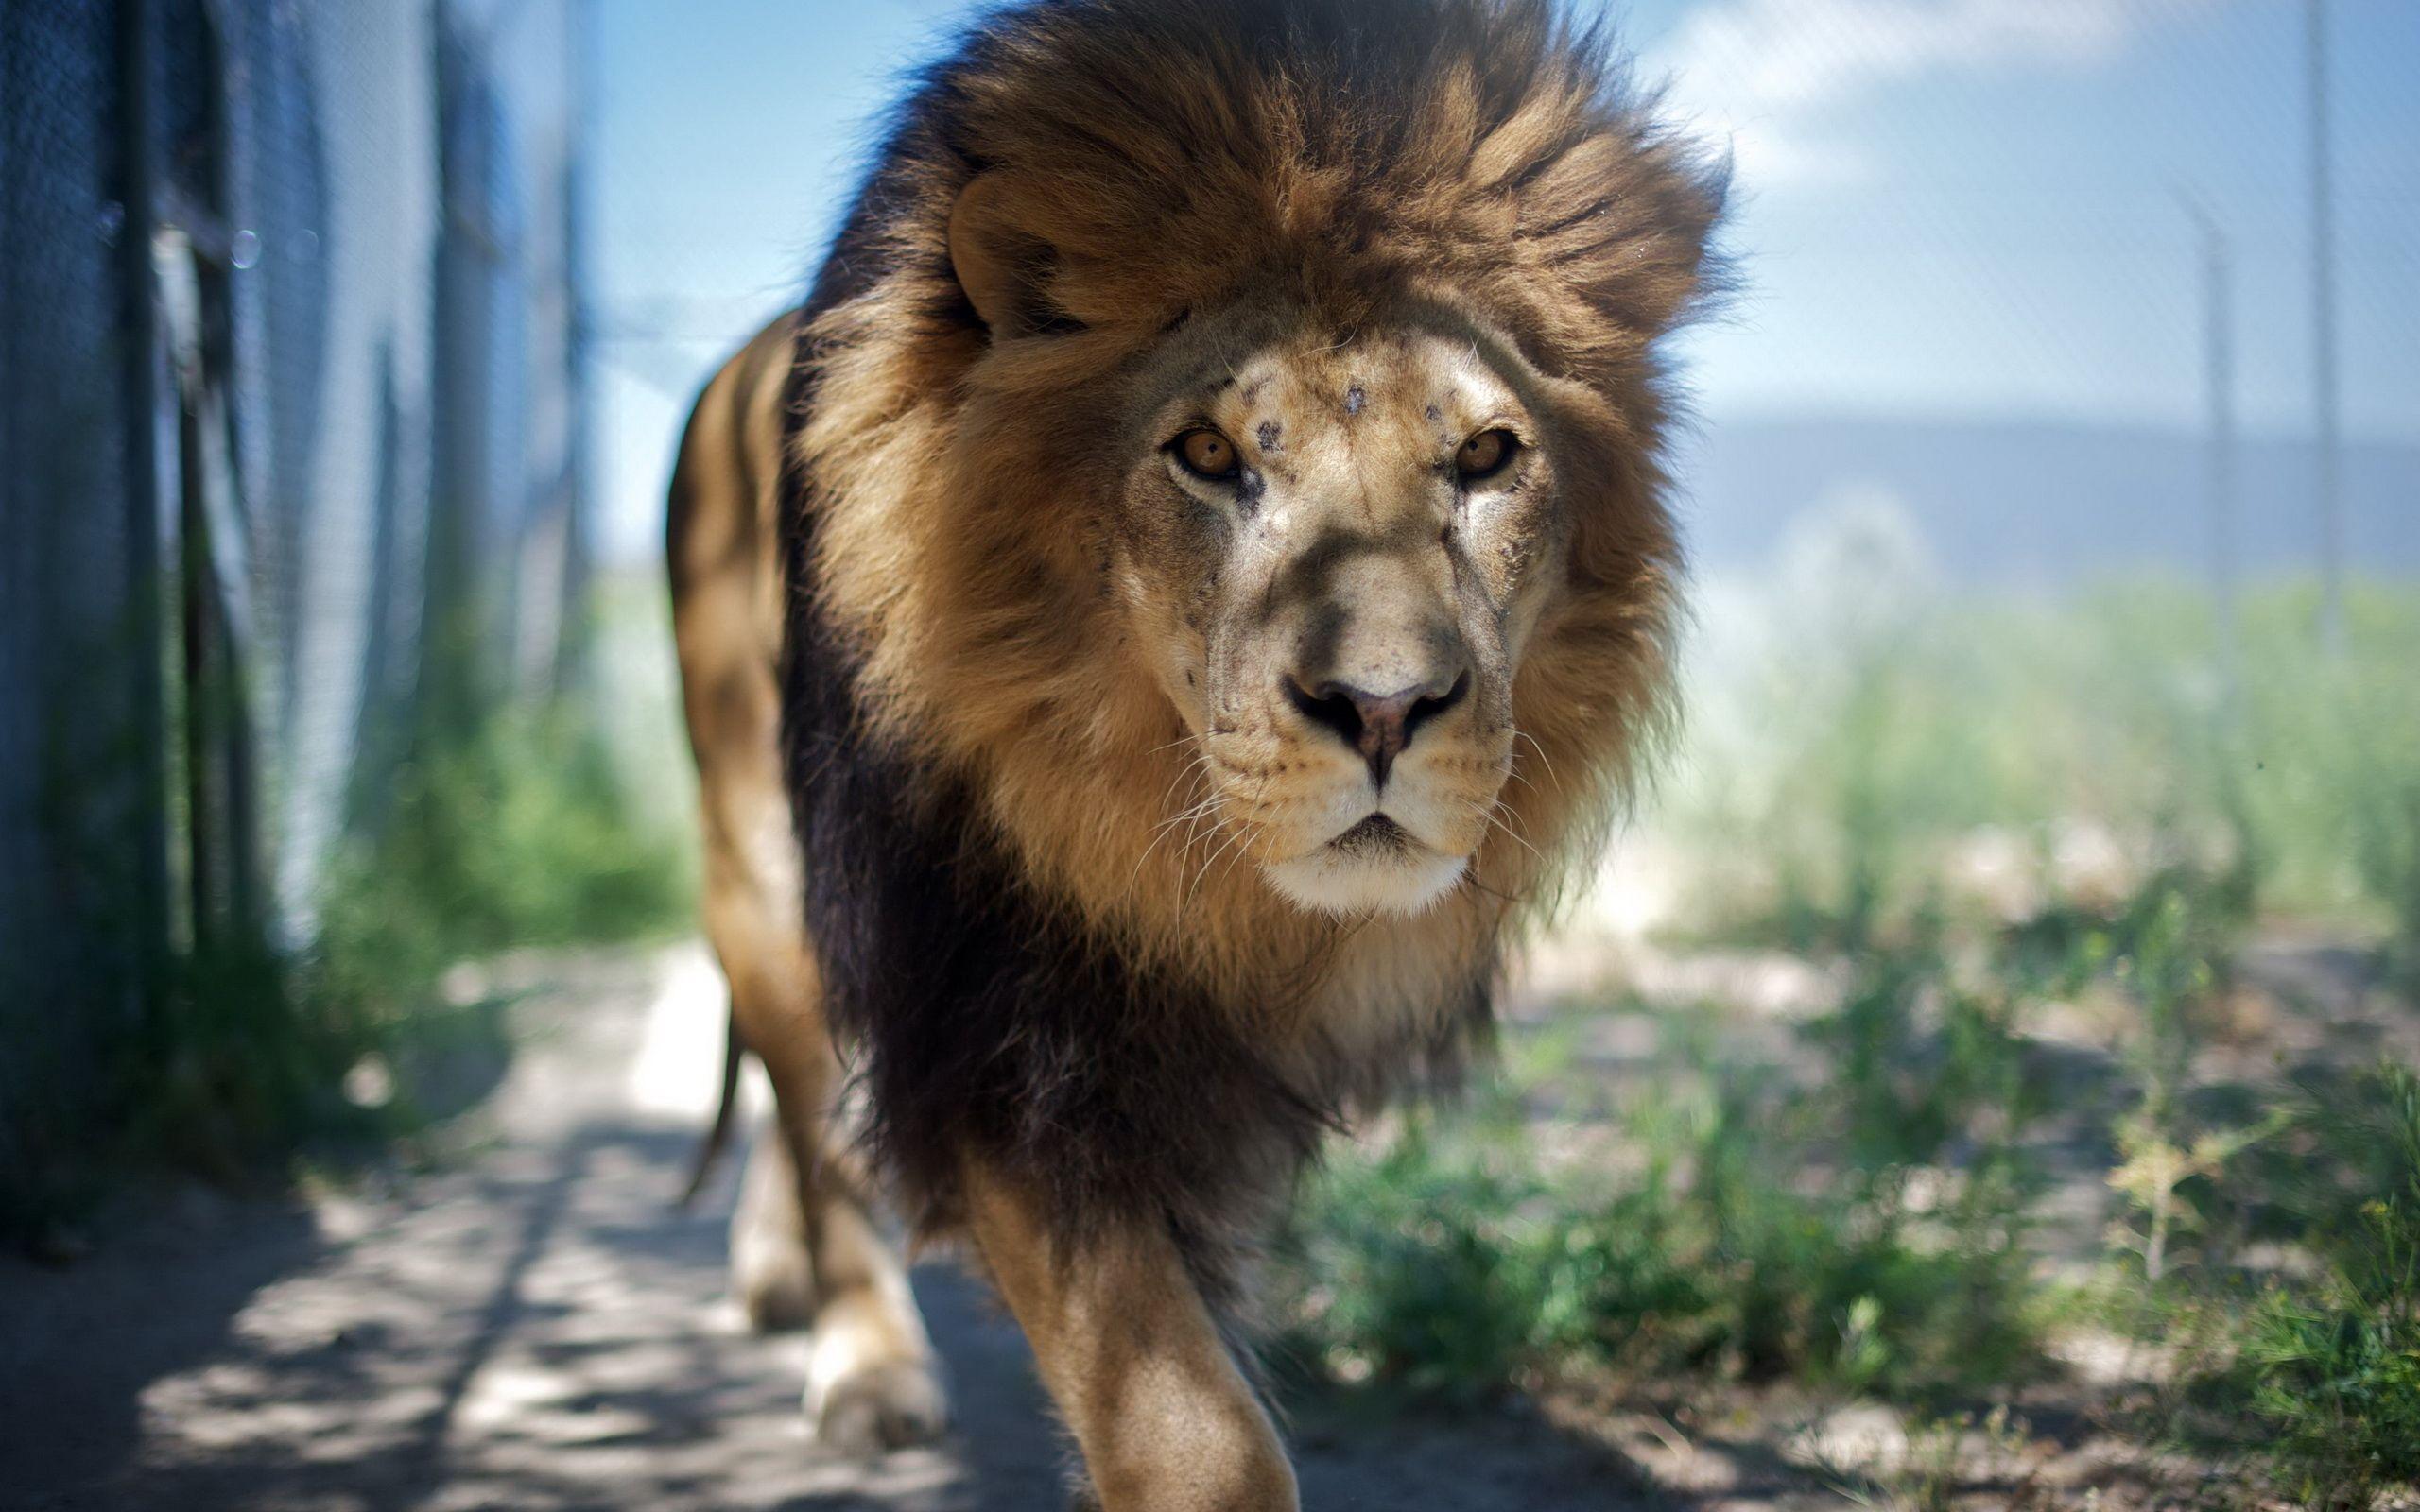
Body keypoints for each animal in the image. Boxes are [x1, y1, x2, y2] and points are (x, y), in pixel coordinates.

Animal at [667, 0, 1723, 1503]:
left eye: (1486, 455)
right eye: (1210, 455)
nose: (1387, 709)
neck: (1183, 869)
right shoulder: (993, 1016)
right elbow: (1192, 1430)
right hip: (755, 848)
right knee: (813, 1102)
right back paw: (862, 1362)